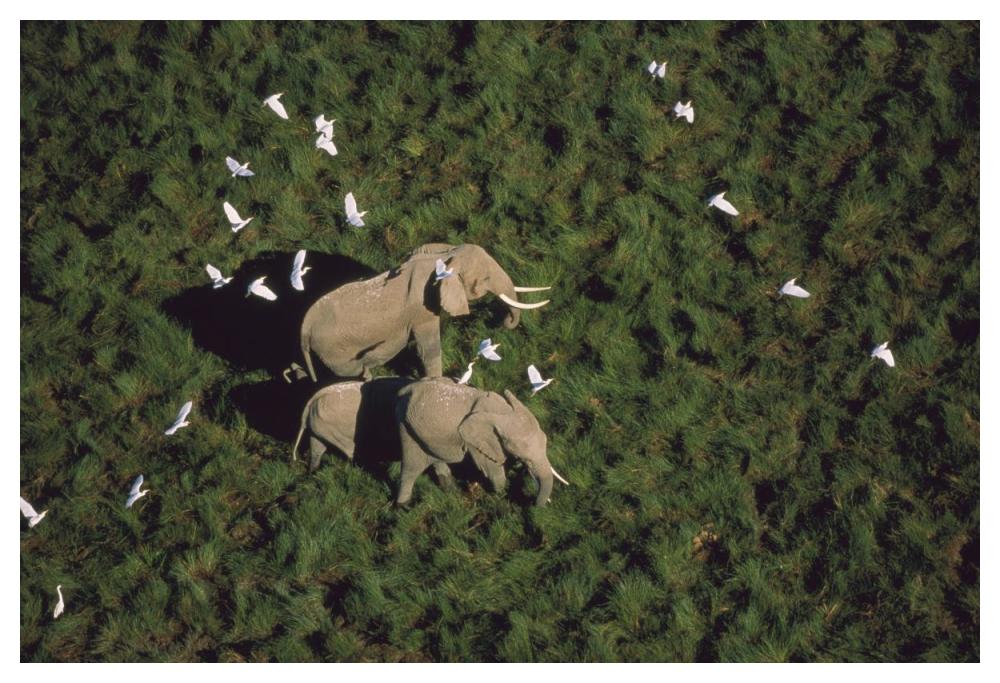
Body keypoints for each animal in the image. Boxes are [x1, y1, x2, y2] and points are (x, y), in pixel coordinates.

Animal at [299, 243, 550, 381]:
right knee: (350, 369)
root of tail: (304, 328)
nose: (503, 321)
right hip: (331, 348)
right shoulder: (421, 311)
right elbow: (428, 348)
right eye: (486, 279)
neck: (444, 258)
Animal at [393, 377, 565, 507]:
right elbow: (492, 470)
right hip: (404, 425)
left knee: (436, 458)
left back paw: (452, 491)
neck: (502, 411)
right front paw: (501, 495)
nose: (534, 504)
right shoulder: (476, 441)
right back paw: (404, 506)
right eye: (525, 458)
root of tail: (404, 390)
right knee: (411, 468)